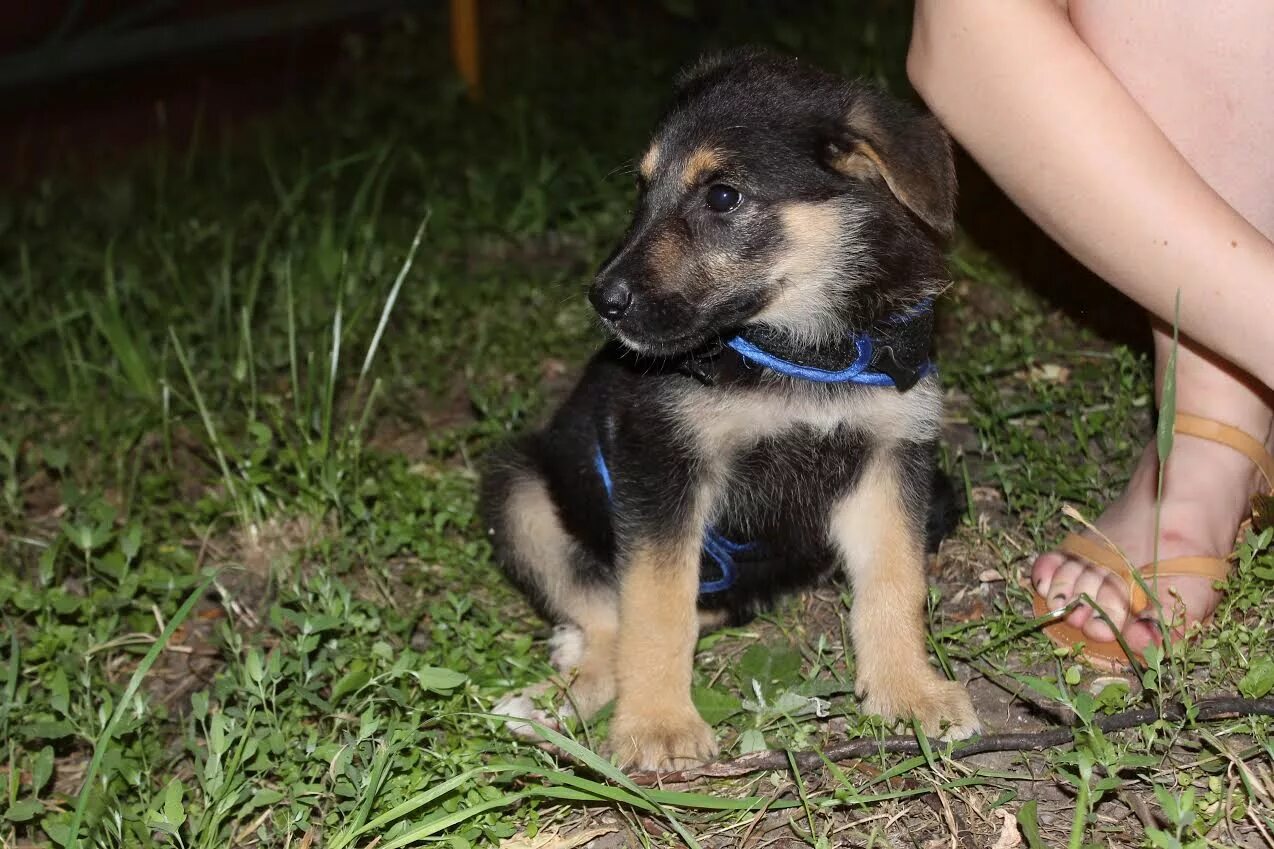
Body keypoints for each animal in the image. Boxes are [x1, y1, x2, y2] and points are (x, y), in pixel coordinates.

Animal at [481, 47, 978, 775]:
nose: (603, 299)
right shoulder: (662, 464)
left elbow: (894, 581)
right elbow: (655, 607)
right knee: (606, 615)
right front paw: (656, 725)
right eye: (643, 188)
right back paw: (558, 695)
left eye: (722, 196)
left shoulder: (894, 456)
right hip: (518, 489)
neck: (799, 347)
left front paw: (907, 690)